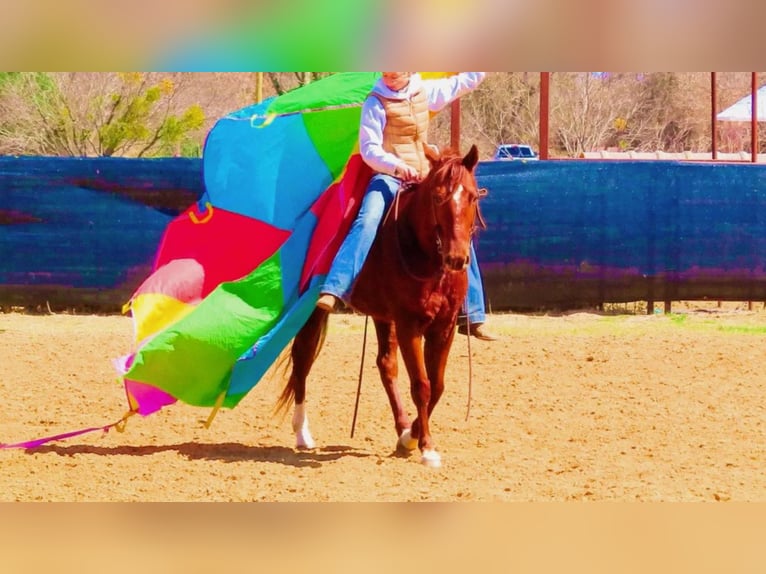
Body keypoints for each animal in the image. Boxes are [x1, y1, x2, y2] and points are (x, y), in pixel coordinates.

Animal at [280, 145, 488, 468]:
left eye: (472, 197)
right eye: (437, 196)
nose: (456, 259)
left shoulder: (445, 326)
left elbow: (437, 385)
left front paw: (410, 437)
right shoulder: (408, 324)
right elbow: (422, 385)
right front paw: (426, 447)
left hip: (381, 315)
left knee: (386, 365)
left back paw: (402, 428)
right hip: (313, 309)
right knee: (302, 357)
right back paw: (302, 433)